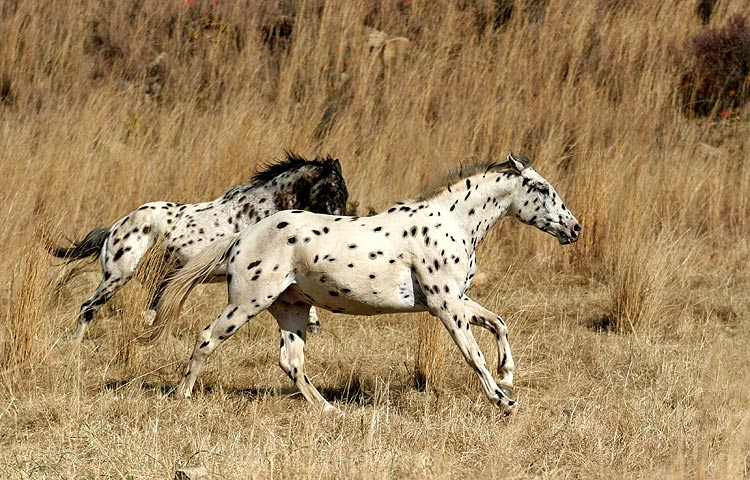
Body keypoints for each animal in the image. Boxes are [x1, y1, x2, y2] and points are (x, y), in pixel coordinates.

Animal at [151, 154, 580, 412]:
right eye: (543, 189)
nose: (574, 228)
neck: (452, 223)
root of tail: (243, 236)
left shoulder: (455, 300)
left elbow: (498, 322)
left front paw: (507, 377)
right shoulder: (445, 306)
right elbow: (473, 354)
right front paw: (503, 400)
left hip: (291, 308)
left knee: (291, 362)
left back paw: (328, 409)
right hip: (247, 302)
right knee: (207, 338)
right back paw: (182, 397)